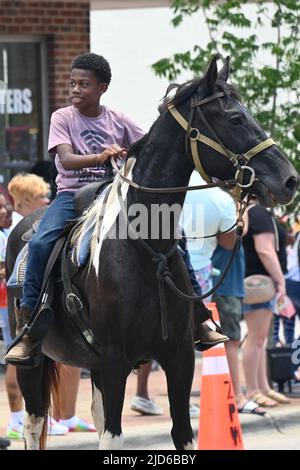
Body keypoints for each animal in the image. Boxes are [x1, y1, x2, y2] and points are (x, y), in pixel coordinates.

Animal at [6, 57, 298, 450]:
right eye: (236, 119)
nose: (289, 180)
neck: (145, 248)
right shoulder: (115, 360)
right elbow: (112, 436)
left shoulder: (178, 358)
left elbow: (182, 434)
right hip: (33, 364)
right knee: (34, 422)